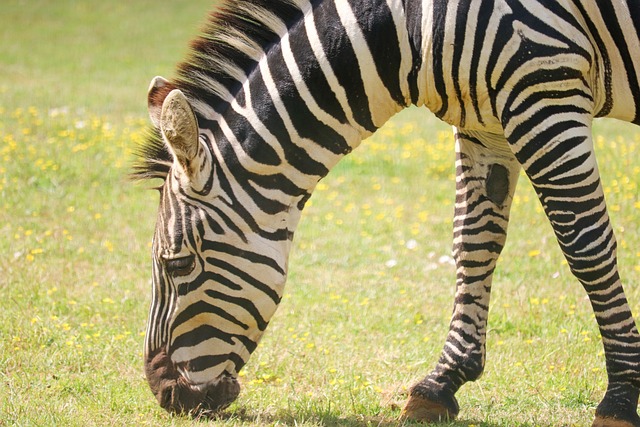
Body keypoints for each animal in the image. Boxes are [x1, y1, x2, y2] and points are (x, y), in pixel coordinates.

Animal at [132, 0, 640, 424]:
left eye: (177, 264)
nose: (165, 396)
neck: (409, 25)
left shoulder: (543, 84)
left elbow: (585, 246)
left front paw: (620, 398)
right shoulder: (485, 120)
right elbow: (474, 243)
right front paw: (441, 384)